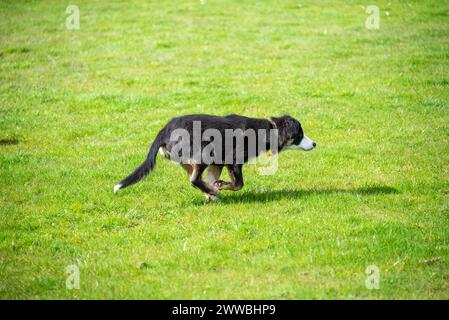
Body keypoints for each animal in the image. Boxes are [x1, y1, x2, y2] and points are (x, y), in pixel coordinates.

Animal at [114, 114, 314, 200]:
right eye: (300, 134)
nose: (314, 144)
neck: (268, 130)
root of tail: (164, 131)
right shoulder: (234, 160)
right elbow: (238, 184)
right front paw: (220, 186)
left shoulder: (218, 162)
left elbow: (213, 177)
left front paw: (215, 188)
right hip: (203, 153)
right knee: (194, 179)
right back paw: (212, 191)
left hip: (189, 160)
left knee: (194, 178)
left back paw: (210, 192)